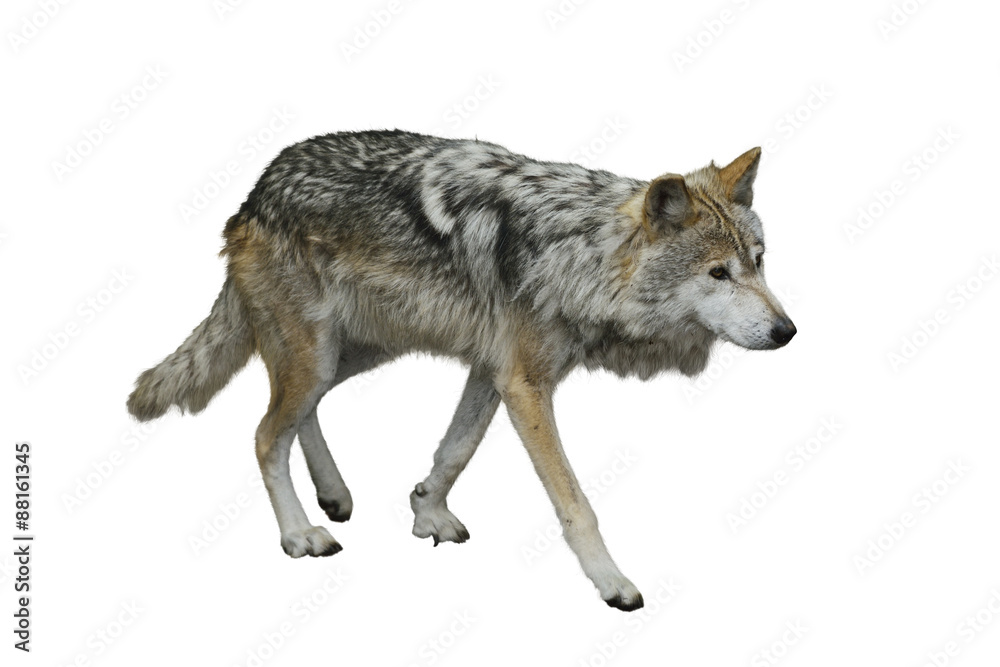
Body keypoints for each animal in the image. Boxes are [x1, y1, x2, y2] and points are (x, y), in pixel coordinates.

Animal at [127, 130, 795, 611]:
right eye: (718, 273)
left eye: (760, 263)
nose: (788, 332)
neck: (580, 254)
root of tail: (256, 192)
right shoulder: (525, 384)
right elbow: (576, 503)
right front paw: (612, 583)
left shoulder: (491, 370)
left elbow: (456, 449)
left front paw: (426, 511)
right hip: (320, 354)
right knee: (267, 432)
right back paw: (300, 534)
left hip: (350, 353)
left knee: (297, 412)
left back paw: (334, 494)